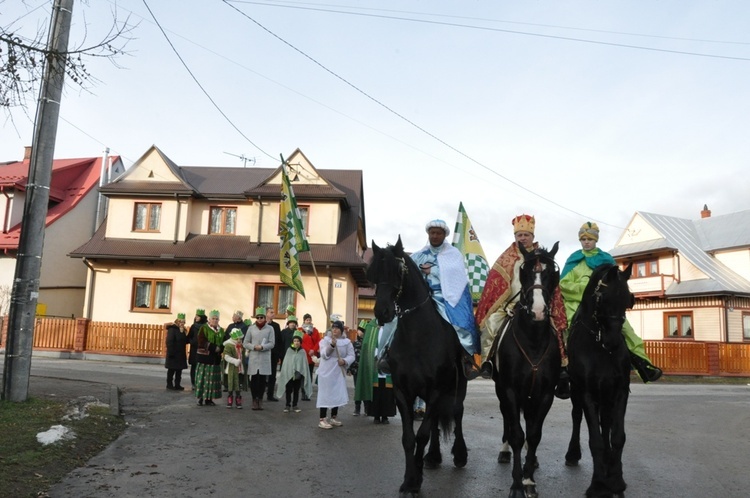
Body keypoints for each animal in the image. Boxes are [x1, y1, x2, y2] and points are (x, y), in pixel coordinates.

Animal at [370, 238, 470, 498]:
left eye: (398, 271)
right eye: (373, 272)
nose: (382, 312)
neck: (418, 338)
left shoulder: (436, 390)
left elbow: (422, 434)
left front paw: (416, 481)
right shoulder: (403, 391)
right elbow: (409, 438)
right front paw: (409, 479)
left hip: (458, 386)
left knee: (457, 413)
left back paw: (459, 454)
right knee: (434, 422)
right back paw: (433, 457)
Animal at [568, 262, 636, 496]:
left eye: (628, 300)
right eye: (602, 298)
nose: (614, 341)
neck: (599, 347)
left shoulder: (620, 391)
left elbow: (617, 436)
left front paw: (616, 479)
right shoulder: (587, 393)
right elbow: (595, 440)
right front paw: (598, 484)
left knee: (605, 423)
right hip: (578, 393)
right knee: (577, 416)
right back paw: (573, 454)